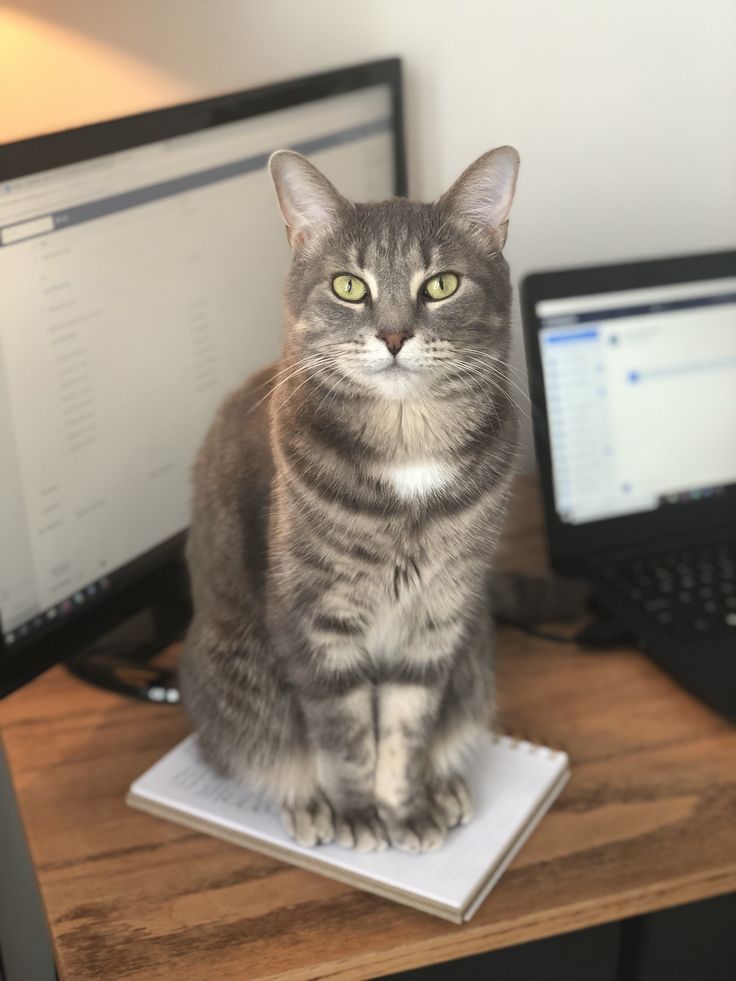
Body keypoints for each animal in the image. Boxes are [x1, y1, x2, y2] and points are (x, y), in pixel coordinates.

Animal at [179, 145, 520, 848]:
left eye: (441, 285)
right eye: (349, 286)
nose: (392, 336)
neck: (409, 441)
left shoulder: (439, 619)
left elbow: (407, 723)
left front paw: (404, 803)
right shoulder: (316, 619)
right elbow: (343, 732)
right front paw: (360, 810)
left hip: (474, 657)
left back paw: (443, 785)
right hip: (235, 665)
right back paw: (310, 804)